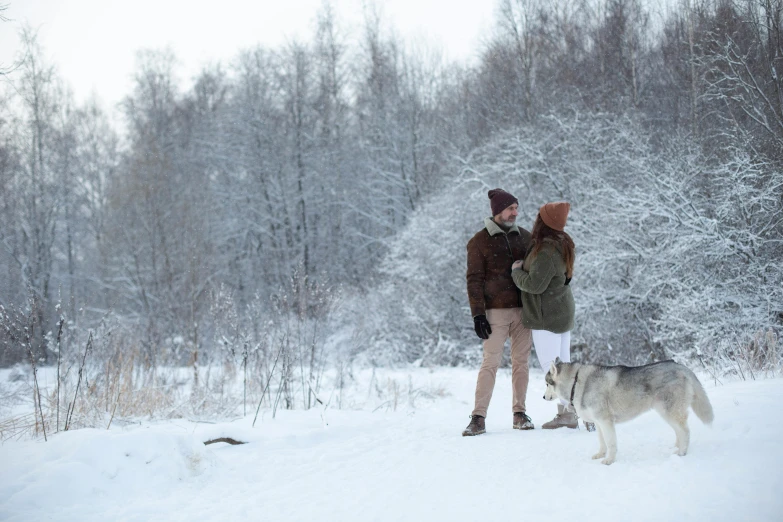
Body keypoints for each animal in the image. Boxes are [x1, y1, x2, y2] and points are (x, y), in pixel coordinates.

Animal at [544, 358, 716, 464]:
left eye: (546, 384)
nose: (543, 396)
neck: (577, 382)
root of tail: (682, 366)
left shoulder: (606, 421)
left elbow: (611, 443)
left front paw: (609, 460)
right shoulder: (599, 423)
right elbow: (602, 442)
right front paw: (601, 454)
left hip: (669, 410)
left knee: (685, 431)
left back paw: (682, 452)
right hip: (665, 412)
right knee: (679, 431)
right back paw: (676, 448)